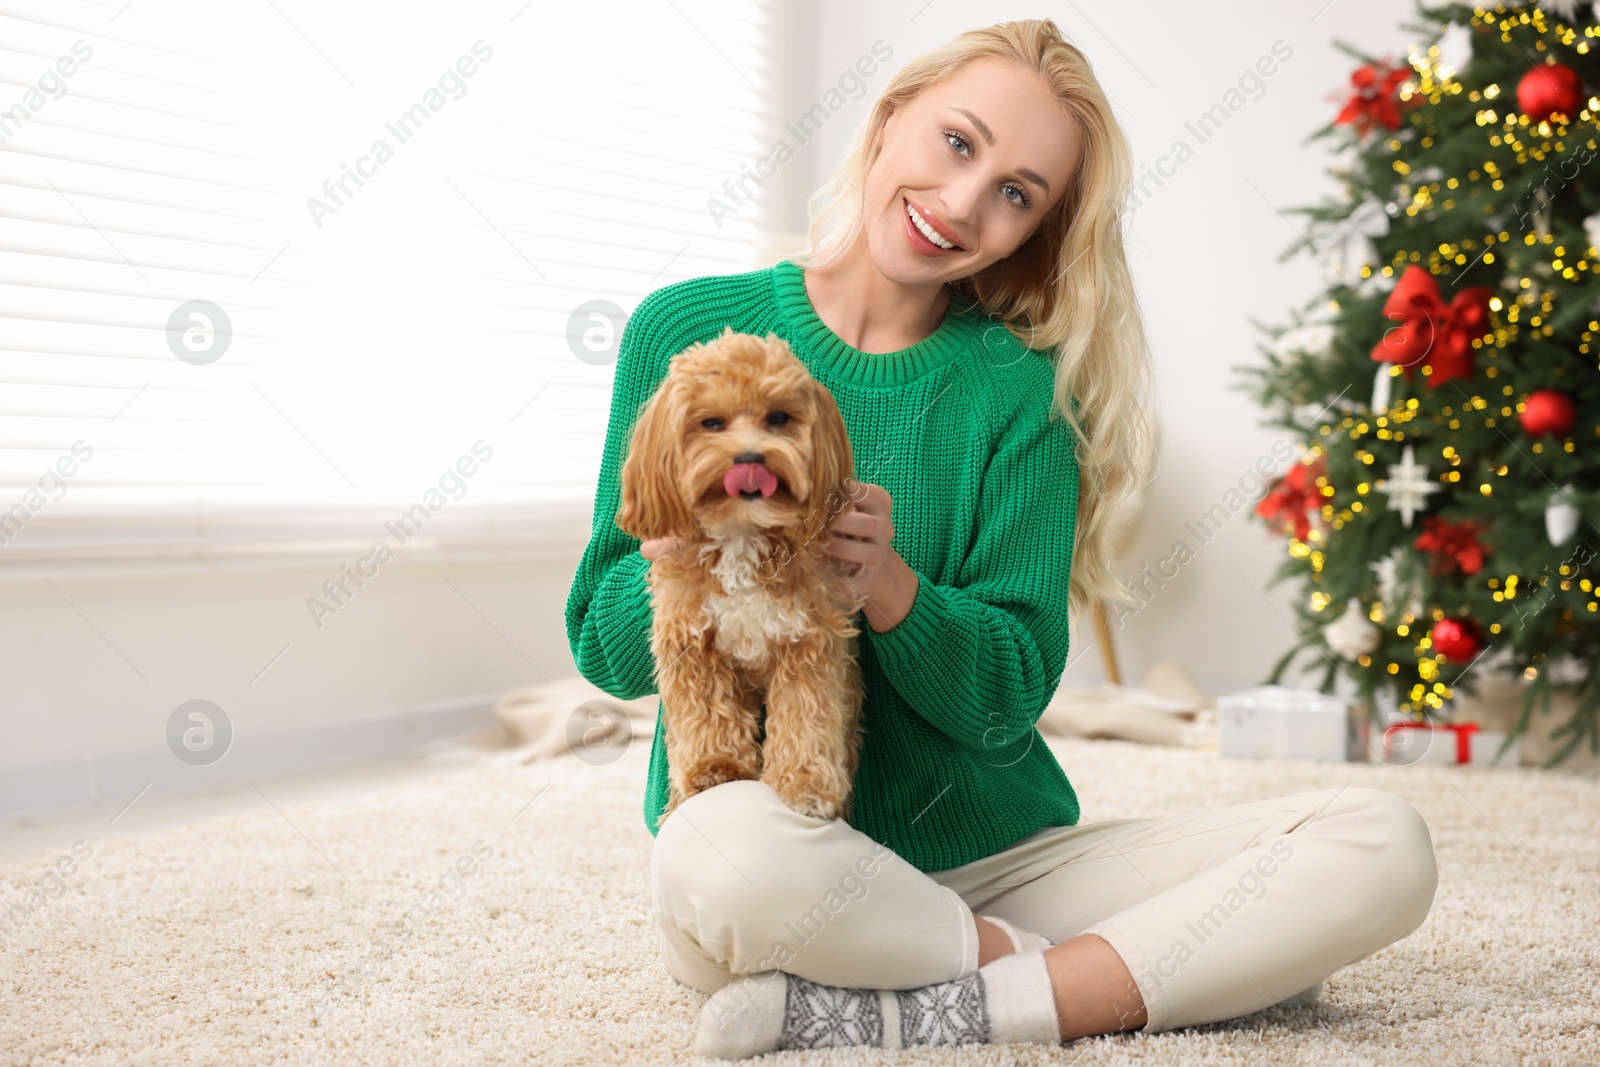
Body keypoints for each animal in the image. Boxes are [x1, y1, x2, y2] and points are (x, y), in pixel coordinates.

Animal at [614, 329, 870, 831]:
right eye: (711, 423)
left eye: (779, 418)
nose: (750, 459)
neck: (742, 532)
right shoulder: (692, 644)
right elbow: (707, 715)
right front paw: (715, 769)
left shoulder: (810, 642)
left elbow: (806, 718)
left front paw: (806, 786)